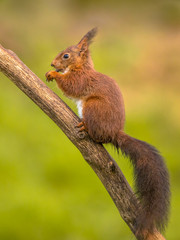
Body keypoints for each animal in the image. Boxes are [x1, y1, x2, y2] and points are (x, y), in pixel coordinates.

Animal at [45, 28, 170, 238]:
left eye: (66, 55)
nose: (53, 63)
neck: (81, 67)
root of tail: (114, 133)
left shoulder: (81, 79)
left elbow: (72, 86)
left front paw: (53, 73)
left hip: (93, 107)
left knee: (97, 134)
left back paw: (86, 128)